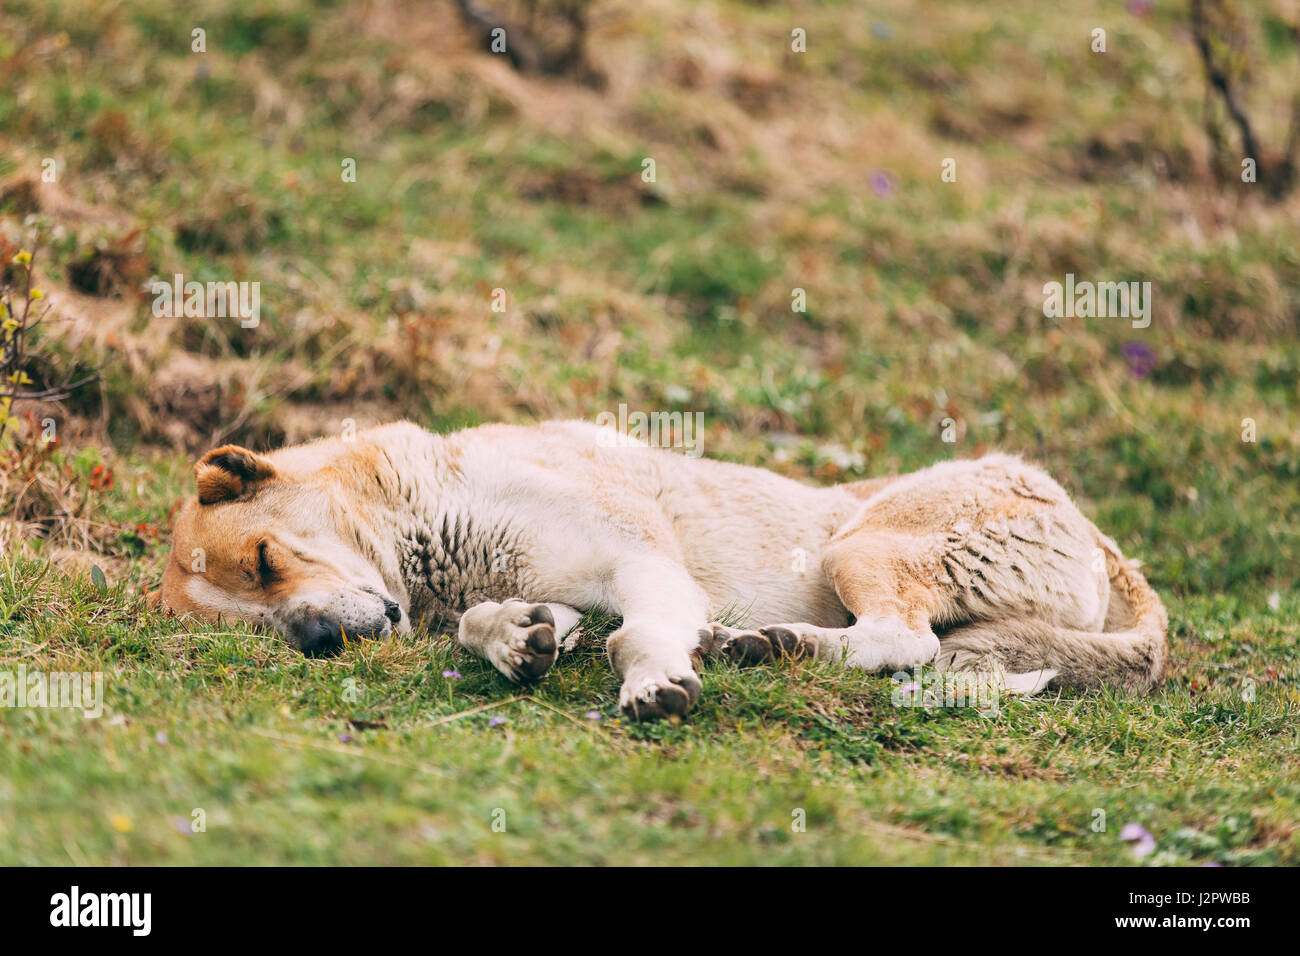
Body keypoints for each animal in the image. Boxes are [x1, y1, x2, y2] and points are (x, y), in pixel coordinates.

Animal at [159, 421, 1170, 723]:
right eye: (260, 623)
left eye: (263, 559)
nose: (318, 642)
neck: (427, 511)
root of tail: (1104, 539)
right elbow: (498, 624)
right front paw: (517, 640)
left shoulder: (640, 561)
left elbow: (635, 636)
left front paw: (651, 681)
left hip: (859, 545)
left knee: (903, 640)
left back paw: (775, 645)